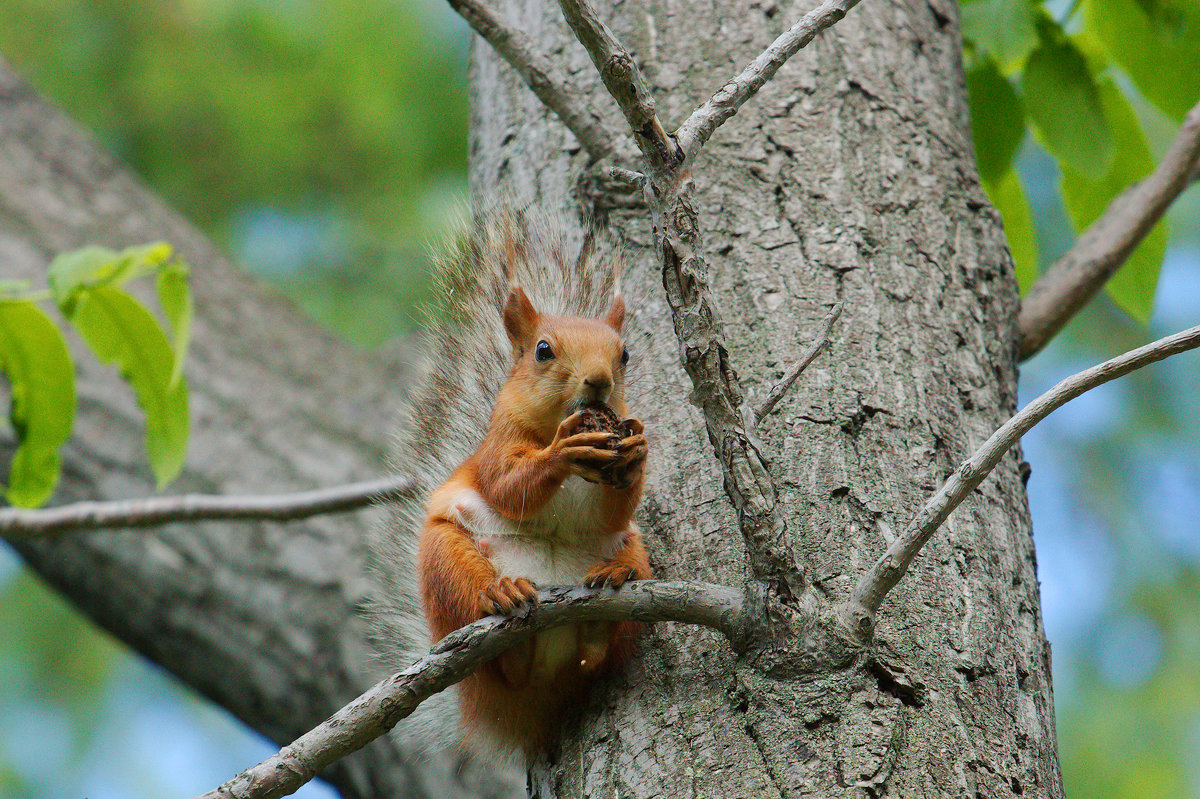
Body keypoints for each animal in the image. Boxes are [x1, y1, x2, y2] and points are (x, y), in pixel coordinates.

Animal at [415, 281, 657, 758]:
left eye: (624, 354)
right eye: (543, 350)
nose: (599, 380)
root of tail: (538, 700)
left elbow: (616, 508)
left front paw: (636, 453)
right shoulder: (497, 445)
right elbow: (510, 486)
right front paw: (561, 451)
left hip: (634, 550)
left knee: (594, 657)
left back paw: (609, 593)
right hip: (444, 561)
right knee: (499, 656)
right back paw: (502, 595)